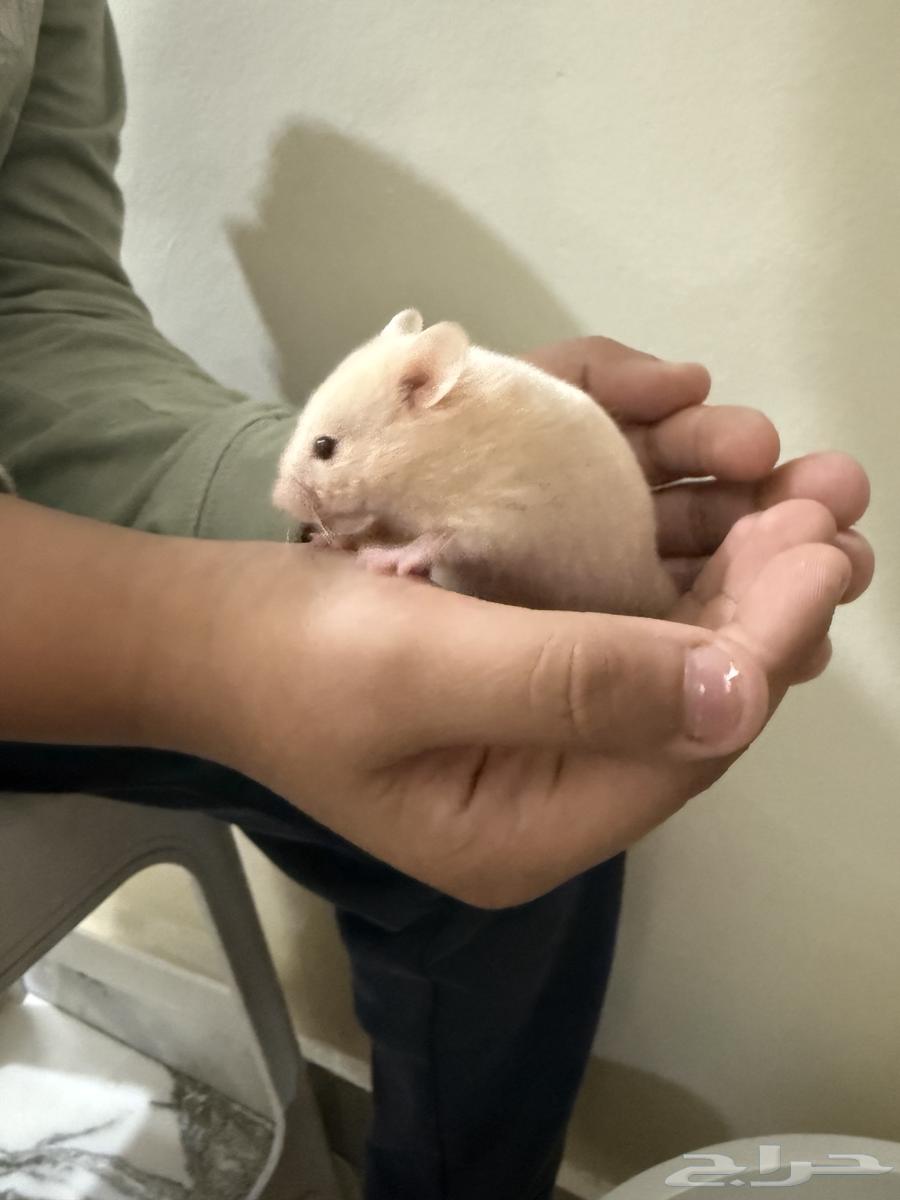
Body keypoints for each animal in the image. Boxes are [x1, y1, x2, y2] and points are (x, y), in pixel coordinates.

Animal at [272, 309, 676, 617]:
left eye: (325, 447)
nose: (279, 501)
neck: (424, 457)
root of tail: (656, 586)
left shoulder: (493, 513)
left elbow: (435, 539)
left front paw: (382, 560)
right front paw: (329, 541)